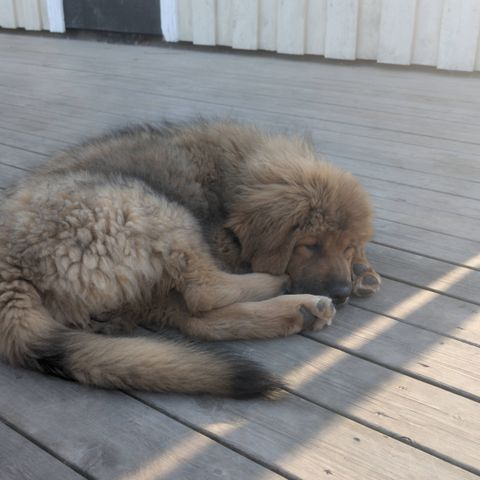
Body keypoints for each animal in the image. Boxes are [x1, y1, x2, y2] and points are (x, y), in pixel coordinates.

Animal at [0, 121, 378, 398]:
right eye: (310, 245)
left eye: (349, 247)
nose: (342, 293)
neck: (236, 178)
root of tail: (10, 268)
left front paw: (364, 271)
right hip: (151, 207)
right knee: (205, 293)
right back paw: (282, 288)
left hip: (145, 283)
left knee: (198, 320)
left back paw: (301, 311)